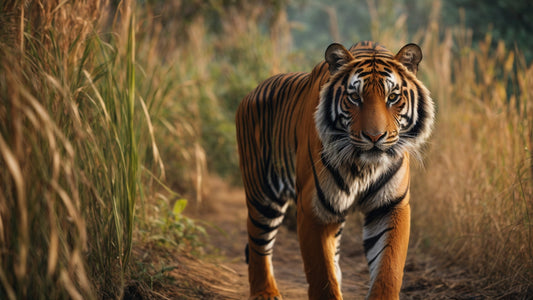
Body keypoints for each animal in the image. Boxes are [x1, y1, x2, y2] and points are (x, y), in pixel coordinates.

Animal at [236, 41, 432, 300]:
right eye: (355, 97)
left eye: (392, 97)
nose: (375, 137)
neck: (364, 167)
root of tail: (250, 93)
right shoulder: (313, 209)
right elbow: (321, 275)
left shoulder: (390, 205)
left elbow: (389, 267)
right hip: (263, 194)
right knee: (258, 241)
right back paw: (265, 292)